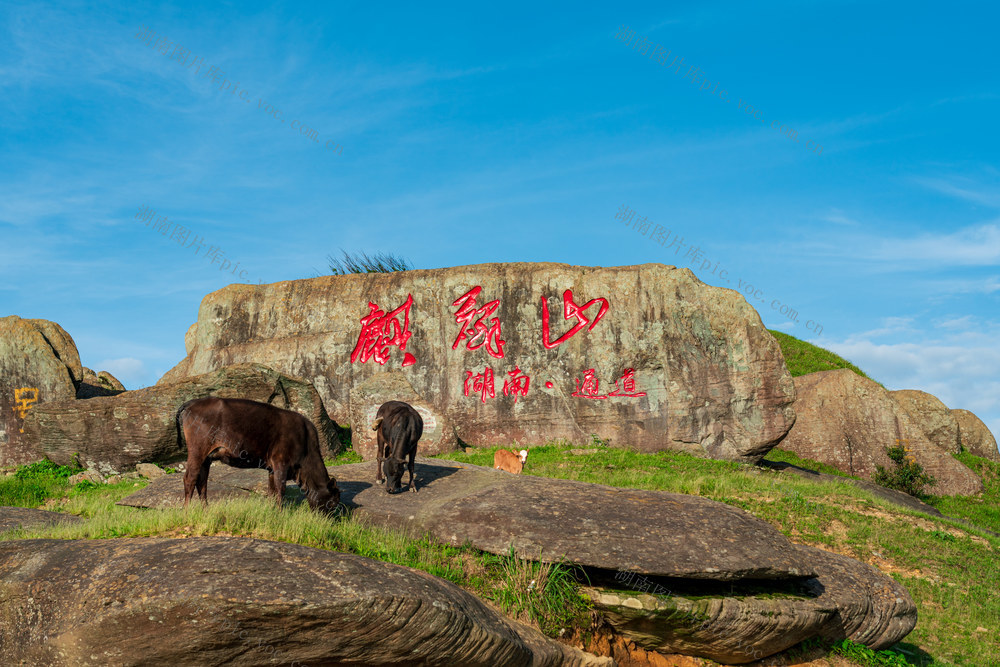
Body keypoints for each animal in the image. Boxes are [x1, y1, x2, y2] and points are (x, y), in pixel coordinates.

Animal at [176, 400, 340, 516]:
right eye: (332, 503)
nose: (329, 521)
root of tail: (191, 403)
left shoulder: (272, 469)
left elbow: (272, 491)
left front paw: (273, 511)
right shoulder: (281, 464)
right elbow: (280, 490)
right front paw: (280, 514)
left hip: (206, 459)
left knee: (202, 482)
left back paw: (206, 511)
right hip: (197, 452)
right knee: (190, 479)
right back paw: (186, 512)